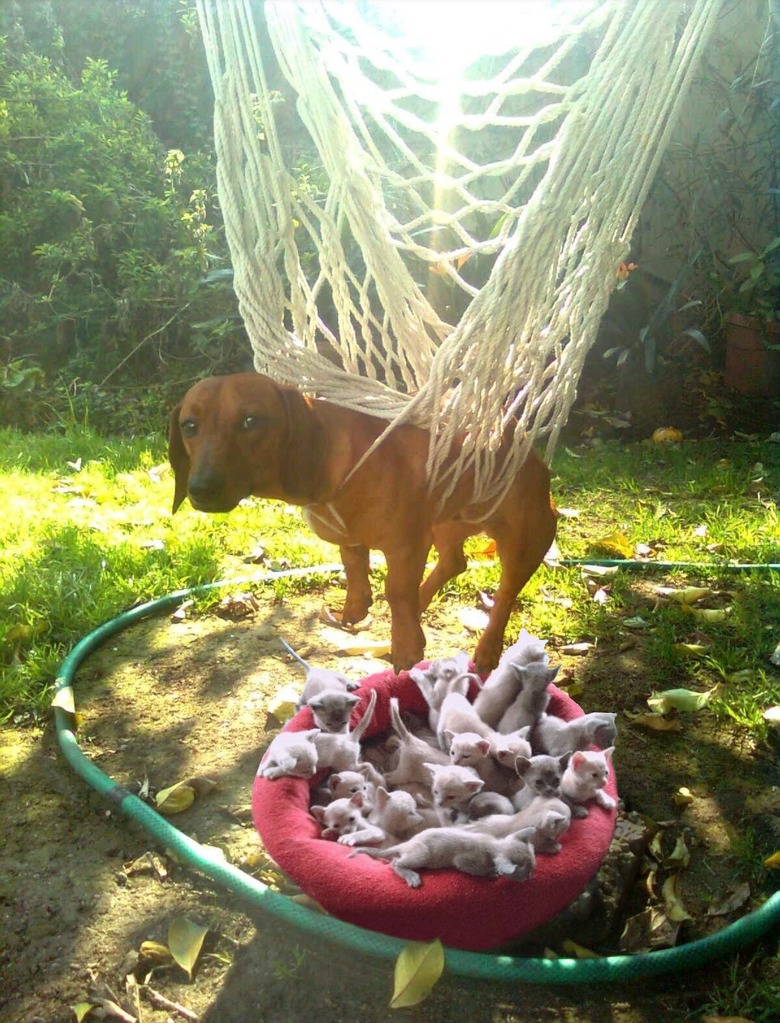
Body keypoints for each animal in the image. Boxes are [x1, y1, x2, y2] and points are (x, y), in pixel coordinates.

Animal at [167, 374, 556, 671]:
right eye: (190, 426)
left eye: (251, 421)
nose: (200, 489)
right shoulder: (360, 535)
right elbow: (354, 562)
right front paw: (357, 604)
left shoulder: (406, 546)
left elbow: (395, 591)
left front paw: (406, 645)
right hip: (444, 524)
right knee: (454, 562)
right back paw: (421, 599)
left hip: (525, 539)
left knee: (504, 595)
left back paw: (487, 648)